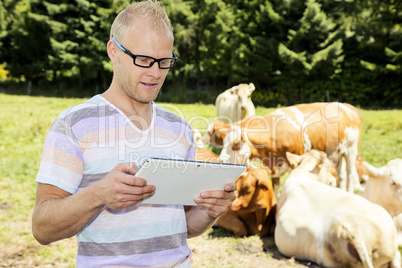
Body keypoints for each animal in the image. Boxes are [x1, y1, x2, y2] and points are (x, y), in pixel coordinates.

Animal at [218, 101, 362, 196]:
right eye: (223, 142)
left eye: (236, 143)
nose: (220, 161)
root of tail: (349, 107)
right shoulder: (274, 169)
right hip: (337, 154)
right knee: (342, 175)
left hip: (351, 151)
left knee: (350, 174)